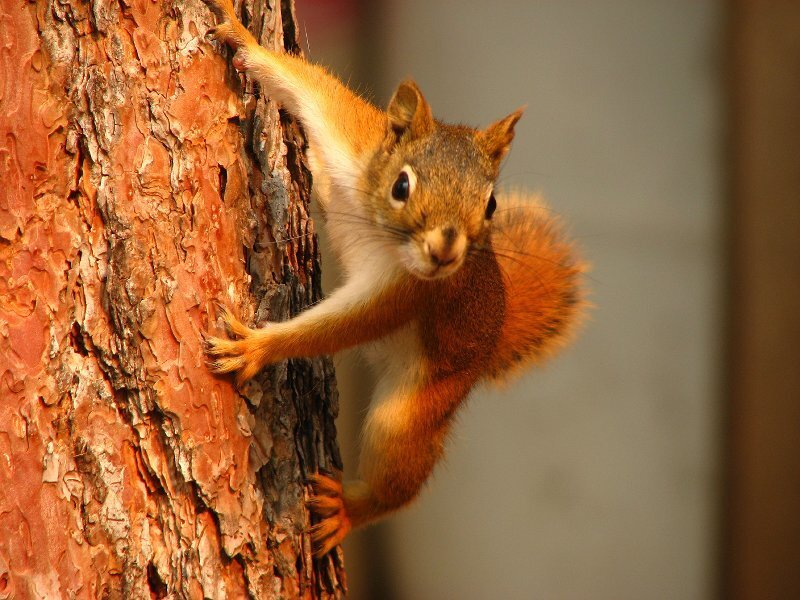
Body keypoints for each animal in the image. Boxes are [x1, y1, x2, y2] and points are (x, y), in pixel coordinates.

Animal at [202, 0, 585, 557]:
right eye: (402, 185)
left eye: (490, 204)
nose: (446, 251)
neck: (376, 223)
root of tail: (488, 345)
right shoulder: (351, 138)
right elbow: (308, 88)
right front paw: (241, 36)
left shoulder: (407, 293)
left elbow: (341, 327)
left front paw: (257, 347)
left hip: (414, 411)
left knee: (398, 483)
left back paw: (349, 509)